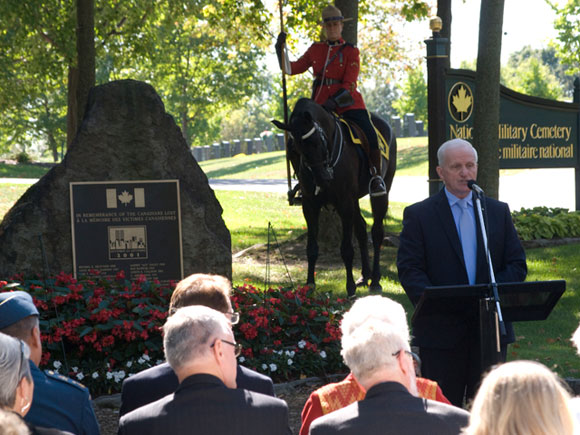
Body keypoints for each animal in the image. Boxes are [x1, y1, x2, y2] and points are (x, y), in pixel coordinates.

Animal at [274, 98, 396, 296]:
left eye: (317, 141)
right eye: (296, 149)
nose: (322, 179)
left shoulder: (344, 203)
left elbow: (346, 249)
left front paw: (350, 286)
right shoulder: (310, 206)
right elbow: (312, 248)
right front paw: (310, 284)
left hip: (381, 190)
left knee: (377, 232)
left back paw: (376, 280)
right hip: (354, 200)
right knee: (361, 230)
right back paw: (365, 276)